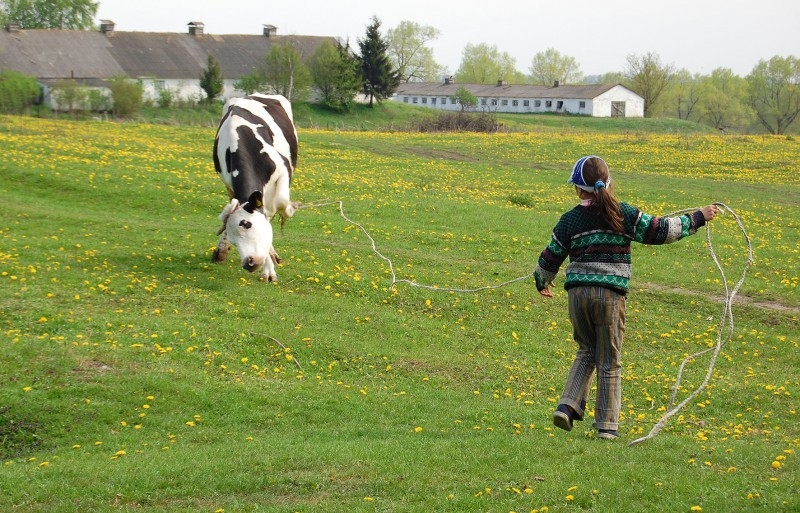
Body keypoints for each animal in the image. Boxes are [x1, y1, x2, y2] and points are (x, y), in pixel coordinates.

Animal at [211, 94, 298, 282]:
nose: (249, 263)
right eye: (234, 239)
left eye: (248, 225)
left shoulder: (283, 170)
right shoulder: (229, 184)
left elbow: (280, 204)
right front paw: (268, 269)